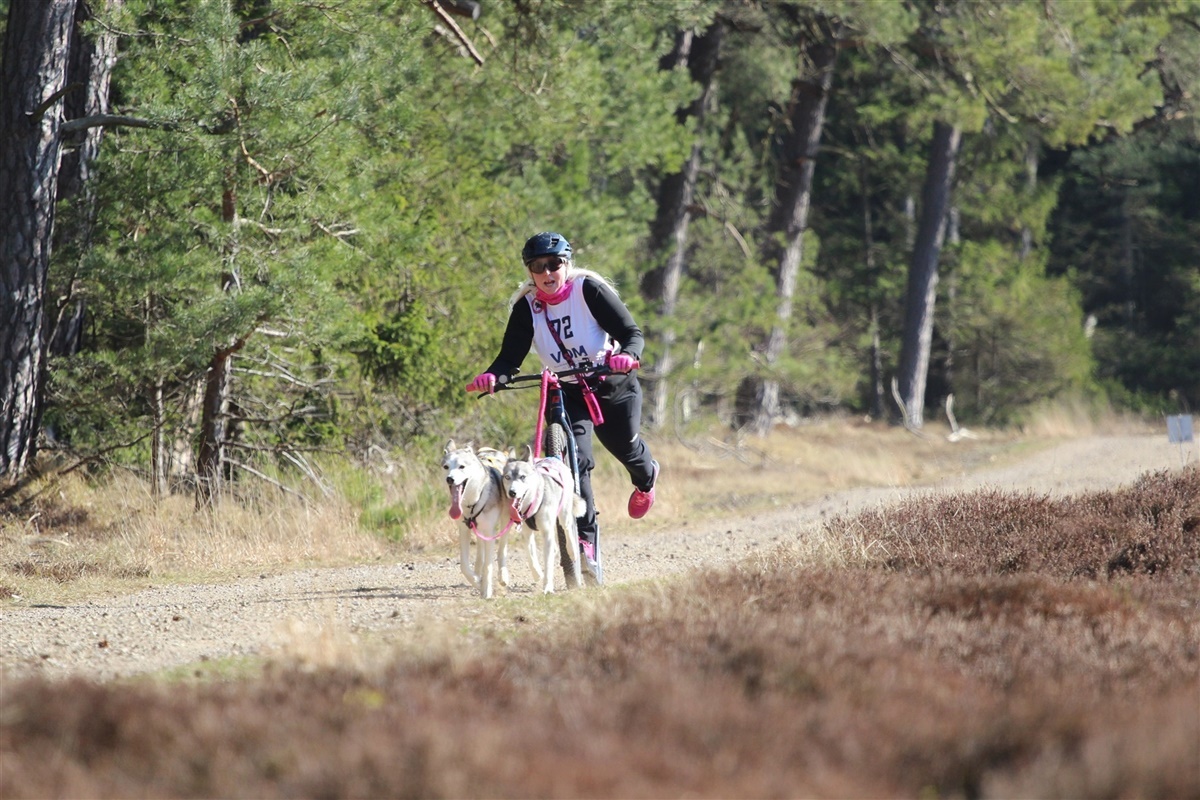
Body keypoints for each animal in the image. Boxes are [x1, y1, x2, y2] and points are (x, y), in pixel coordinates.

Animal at [442, 440, 533, 599]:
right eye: (446, 467)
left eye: (461, 466)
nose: (450, 479)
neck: (472, 502)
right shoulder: (464, 530)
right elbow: (464, 565)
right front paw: (477, 581)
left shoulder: (490, 531)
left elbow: (489, 565)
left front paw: (486, 590)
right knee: (480, 551)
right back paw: (478, 571)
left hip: (505, 519)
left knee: (501, 549)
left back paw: (502, 576)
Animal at [501, 450, 587, 593]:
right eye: (507, 477)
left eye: (522, 477)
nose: (512, 492)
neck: (533, 503)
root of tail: (554, 458)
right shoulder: (526, 533)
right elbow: (530, 554)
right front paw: (537, 573)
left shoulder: (547, 532)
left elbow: (548, 564)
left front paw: (547, 587)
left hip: (564, 513)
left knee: (567, 528)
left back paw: (572, 551)